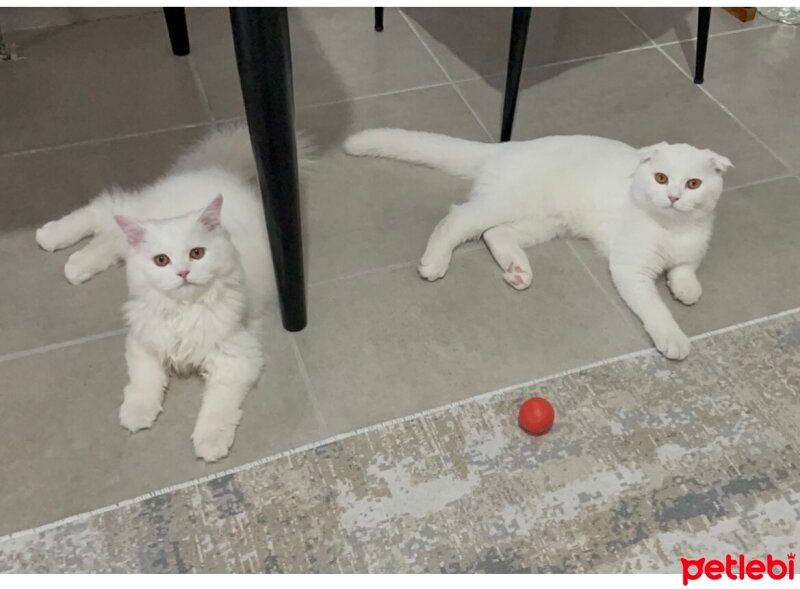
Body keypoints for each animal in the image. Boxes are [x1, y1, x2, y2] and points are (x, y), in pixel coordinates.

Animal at [36, 124, 312, 462]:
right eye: (161, 260)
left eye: (197, 253)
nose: (182, 272)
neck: (184, 310)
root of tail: (220, 172)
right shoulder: (143, 342)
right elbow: (144, 382)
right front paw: (136, 414)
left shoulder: (236, 357)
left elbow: (216, 408)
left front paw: (210, 443)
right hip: (132, 217)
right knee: (103, 208)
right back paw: (50, 236)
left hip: (126, 235)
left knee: (106, 237)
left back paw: (74, 265)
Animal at [344, 129, 732, 358]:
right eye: (661, 178)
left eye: (694, 184)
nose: (673, 197)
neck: (672, 229)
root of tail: (502, 149)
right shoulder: (630, 270)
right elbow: (656, 308)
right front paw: (674, 338)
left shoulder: (692, 249)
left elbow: (686, 269)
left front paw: (686, 288)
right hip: (511, 202)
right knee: (457, 219)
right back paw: (434, 262)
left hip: (544, 221)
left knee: (494, 233)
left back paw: (518, 271)